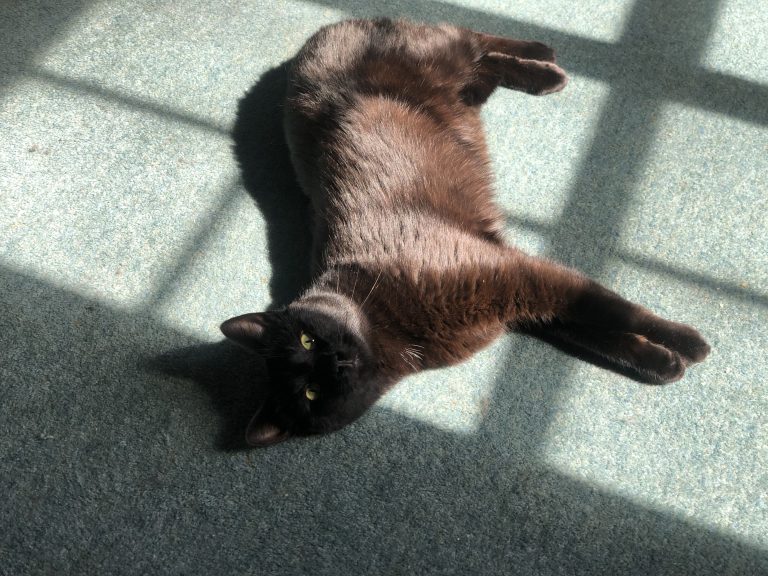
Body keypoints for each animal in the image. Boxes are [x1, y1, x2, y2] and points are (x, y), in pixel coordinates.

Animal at [219, 16, 712, 446]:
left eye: (308, 337)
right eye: (310, 392)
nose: (335, 360)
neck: (397, 332)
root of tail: (313, 40)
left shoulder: (519, 273)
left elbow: (615, 310)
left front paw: (690, 343)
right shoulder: (519, 300)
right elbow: (594, 333)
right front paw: (661, 361)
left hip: (435, 54)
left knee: (466, 35)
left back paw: (545, 58)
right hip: (460, 95)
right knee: (481, 68)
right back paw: (543, 71)